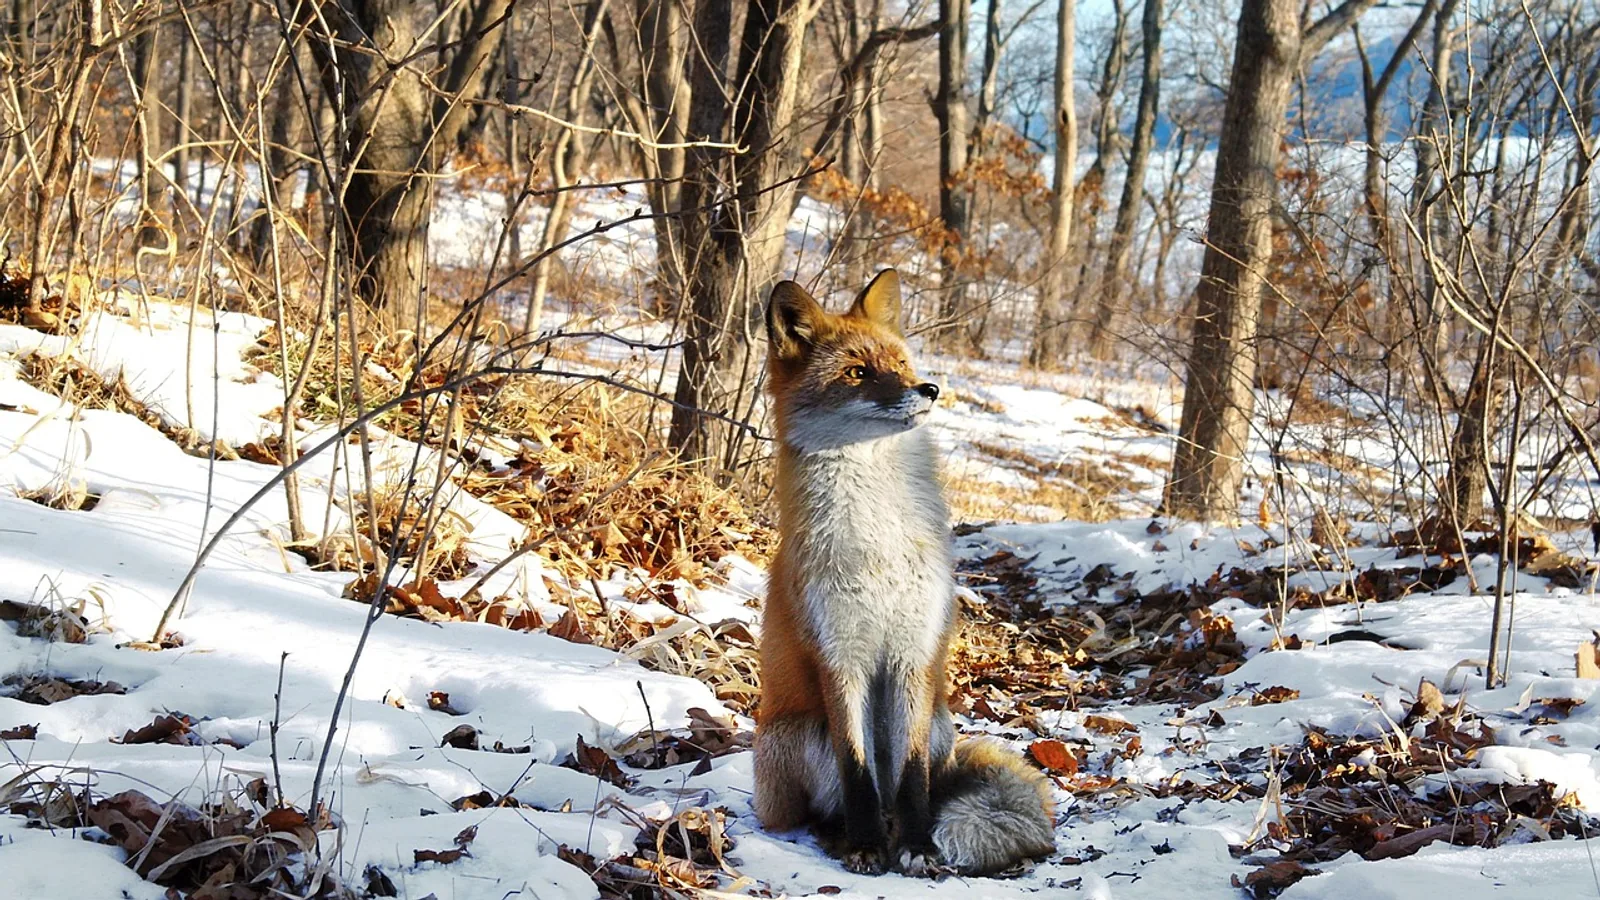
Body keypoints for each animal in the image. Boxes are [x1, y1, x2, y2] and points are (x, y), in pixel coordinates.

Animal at [753, 269, 1056, 876]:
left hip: (940, 724)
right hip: (794, 736)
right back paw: (842, 833)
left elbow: (912, 778)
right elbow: (857, 772)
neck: (880, 543)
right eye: (856, 372)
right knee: (820, 808)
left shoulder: (912, 655)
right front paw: (867, 845)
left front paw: (917, 846)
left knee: (922, 784)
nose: (929, 389)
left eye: (900, 363)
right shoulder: (840, 655)